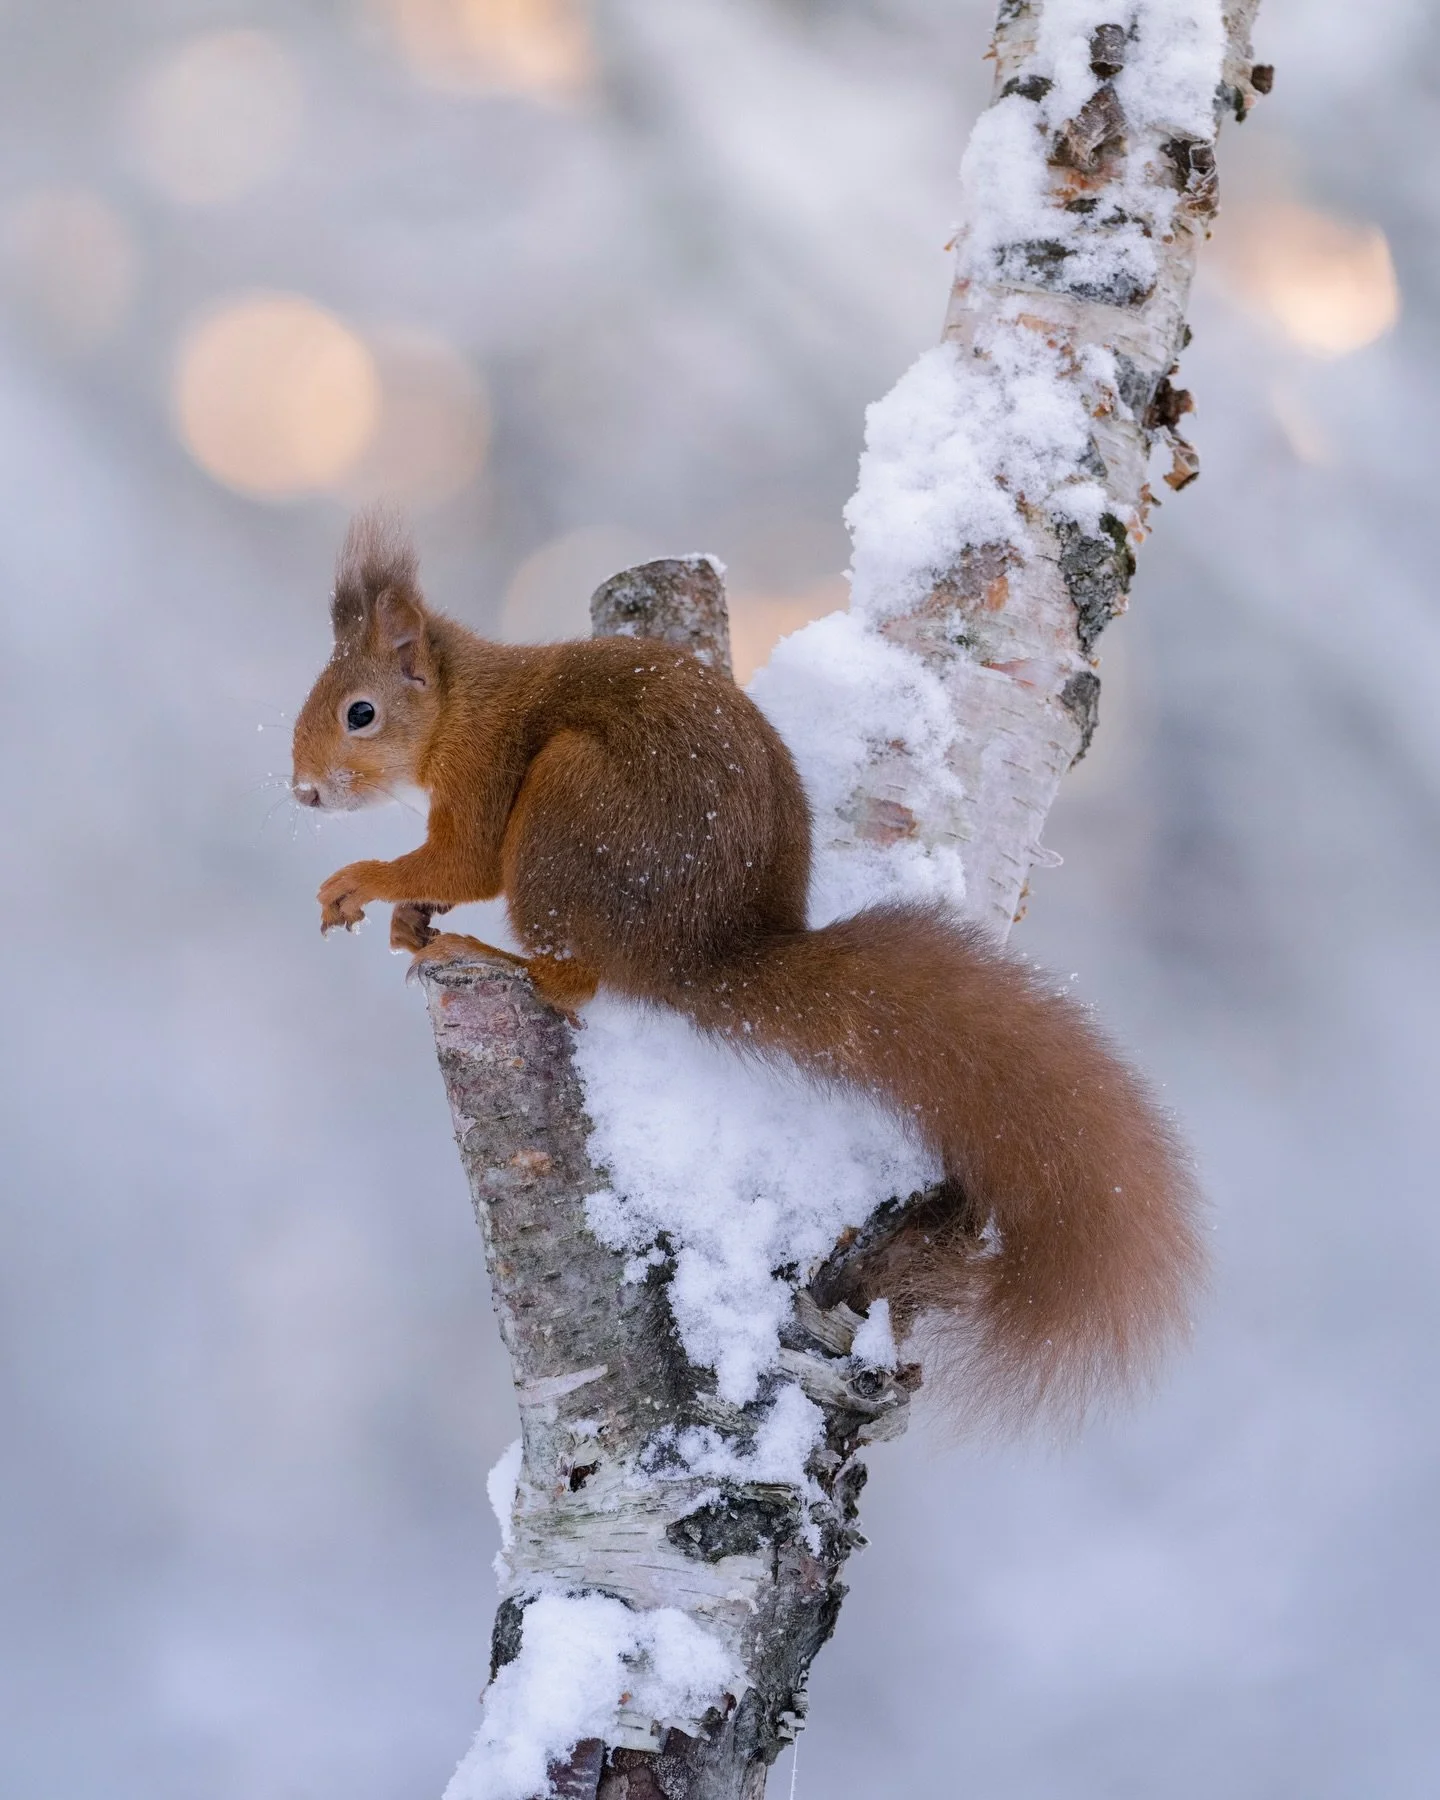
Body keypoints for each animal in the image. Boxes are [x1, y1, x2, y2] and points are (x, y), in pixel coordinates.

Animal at [292, 512, 1202, 1427]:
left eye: (360, 713)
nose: (302, 793)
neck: (457, 705)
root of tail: (702, 951)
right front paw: (406, 916)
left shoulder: (483, 768)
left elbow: (467, 861)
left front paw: (361, 883)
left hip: (563, 808)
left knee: (573, 981)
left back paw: (490, 955)